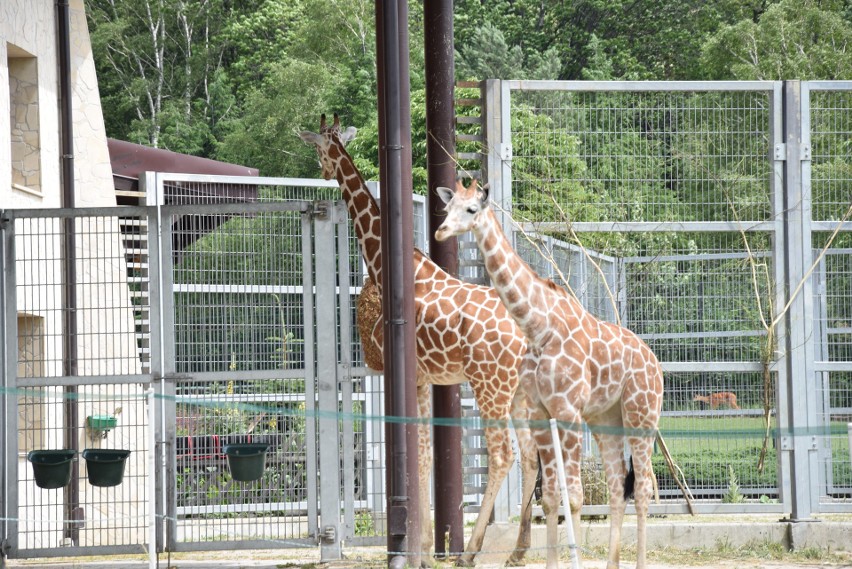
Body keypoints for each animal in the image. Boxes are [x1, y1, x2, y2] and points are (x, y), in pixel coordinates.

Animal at [300, 114, 536, 564]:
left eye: (318, 147)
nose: (320, 170)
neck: (385, 267)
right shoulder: (426, 379)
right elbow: (425, 457)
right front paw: (425, 550)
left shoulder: (396, 374)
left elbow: (412, 457)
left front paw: (419, 551)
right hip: (518, 392)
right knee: (534, 457)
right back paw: (517, 551)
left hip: (491, 386)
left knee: (504, 455)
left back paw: (471, 552)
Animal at [440, 179, 664, 568]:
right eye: (445, 208)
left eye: (471, 210)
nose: (440, 231)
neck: (537, 327)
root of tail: (656, 363)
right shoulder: (540, 413)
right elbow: (549, 499)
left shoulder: (568, 411)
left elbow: (573, 497)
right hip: (606, 419)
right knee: (617, 486)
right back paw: (612, 564)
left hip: (642, 416)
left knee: (642, 488)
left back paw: (638, 563)